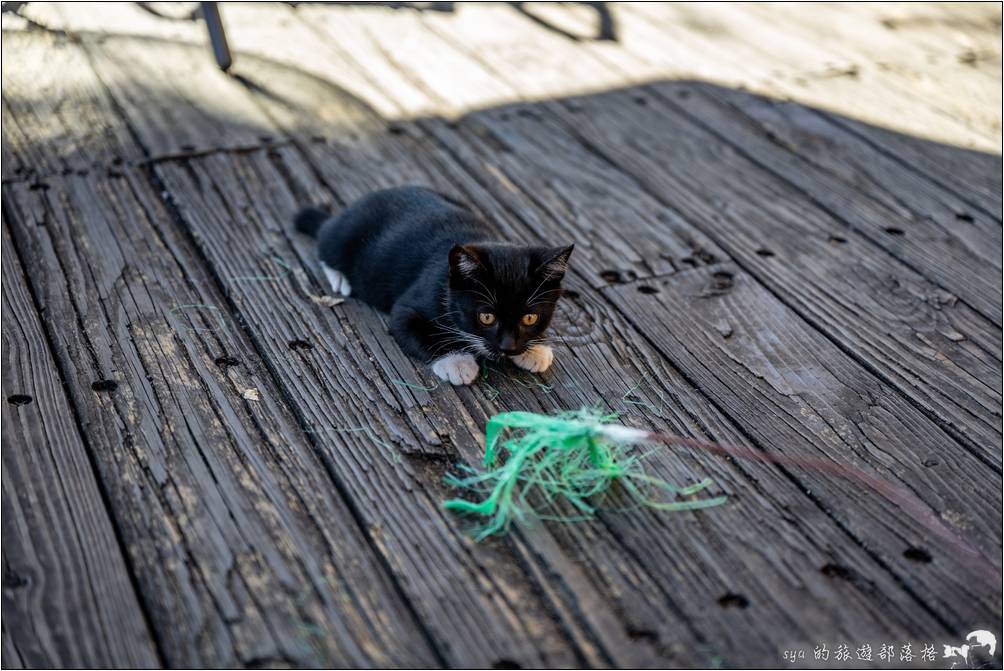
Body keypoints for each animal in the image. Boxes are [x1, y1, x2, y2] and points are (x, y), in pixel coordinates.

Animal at [291, 185, 574, 385]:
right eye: (486, 317)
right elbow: (420, 332)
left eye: (530, 318)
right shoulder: (409, 305)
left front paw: (536, 350)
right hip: (345, 235)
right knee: (325, 239)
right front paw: (457, 363)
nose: (508, 347)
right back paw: (339, 276)